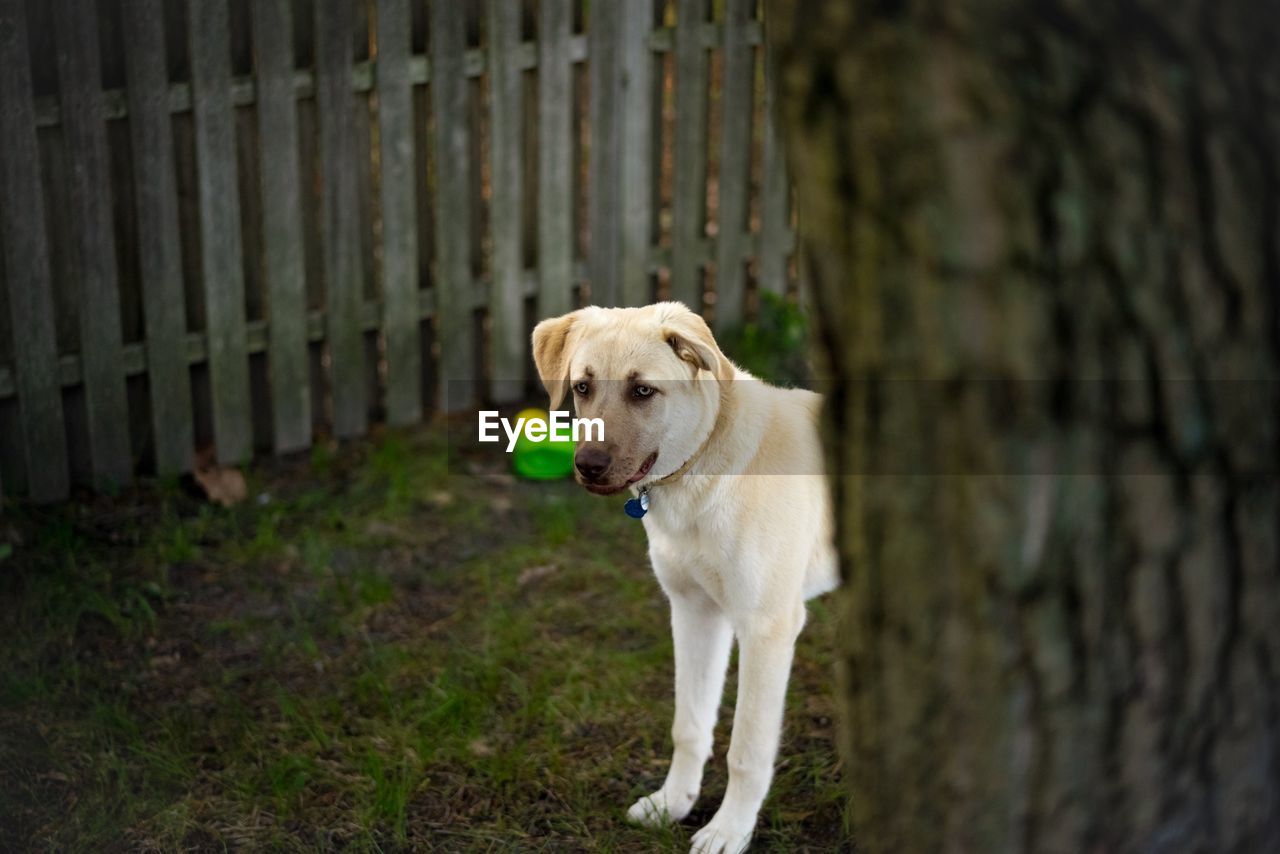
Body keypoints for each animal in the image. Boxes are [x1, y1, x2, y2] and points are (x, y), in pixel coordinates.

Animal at [529, 302, 839, 854]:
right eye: (583, 387)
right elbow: (688, 726)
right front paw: (673, 803)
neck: (701, 473)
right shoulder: (695, 611)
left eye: (642, 391)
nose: (587, 467)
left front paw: (728, 830)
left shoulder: (766, 627)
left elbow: (747, 749)